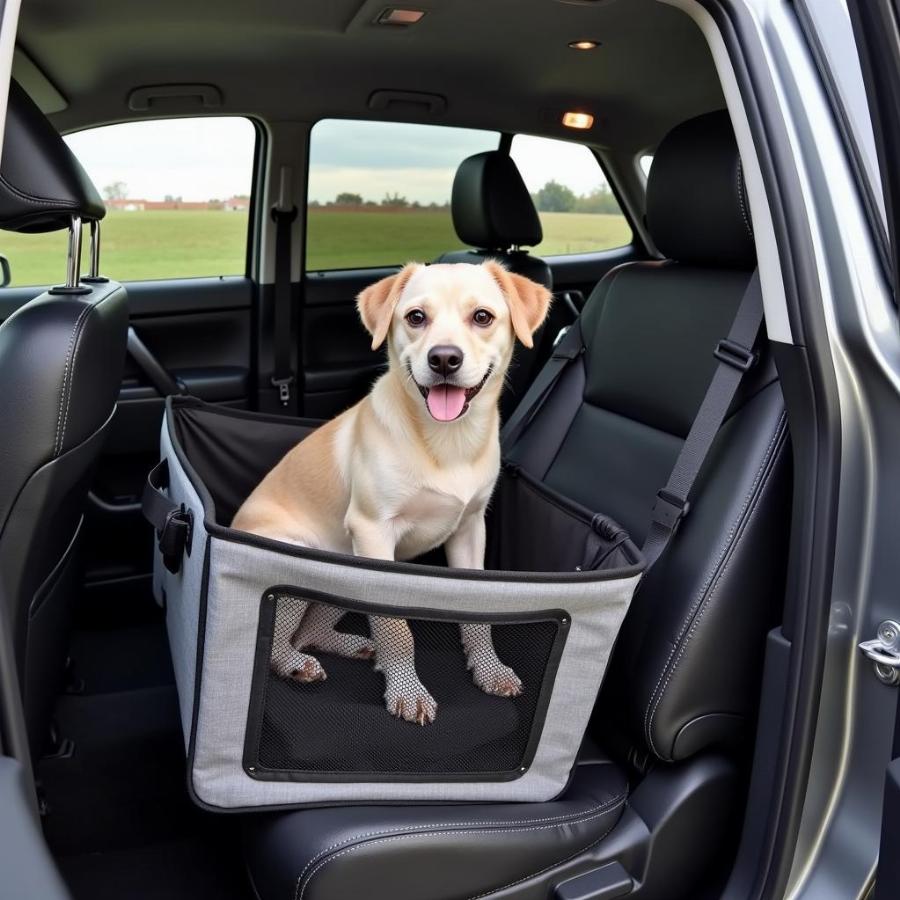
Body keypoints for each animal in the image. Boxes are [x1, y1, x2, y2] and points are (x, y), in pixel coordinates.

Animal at [232, 260, 552, 724]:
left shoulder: (471, 530)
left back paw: (349, 645)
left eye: (482, 317)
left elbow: (478, 614)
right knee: (276, 640)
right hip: (308, 562)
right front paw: (406, 690)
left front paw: (489, 669)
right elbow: (395, 627)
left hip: (346, 567)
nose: (444, 358)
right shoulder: (373, 532)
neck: (447, 441)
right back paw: (294, 663)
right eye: (416, 317)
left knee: (310, 631)